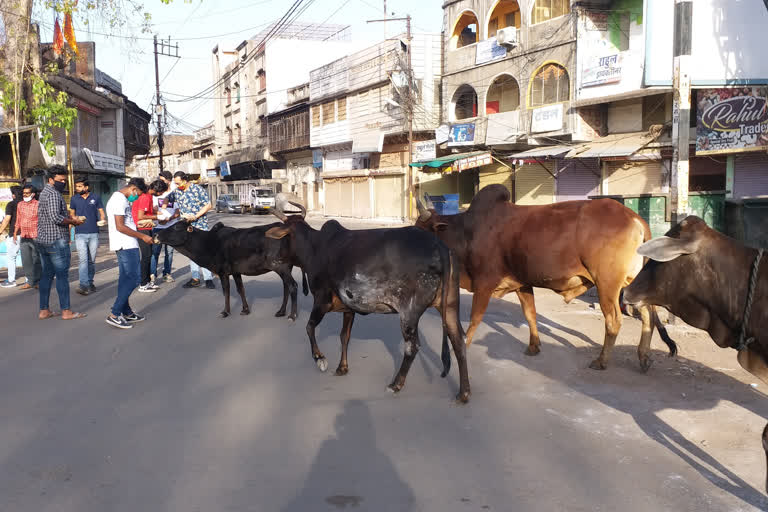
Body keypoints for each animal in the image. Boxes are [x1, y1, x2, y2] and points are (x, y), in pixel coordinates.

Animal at [154, 221, 308, 318]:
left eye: (176, 227)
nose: (156, 235)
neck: (208, 243)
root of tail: (288, 232)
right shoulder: (236, 271)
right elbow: (241, 289)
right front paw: (245, 310)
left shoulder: (223, 271)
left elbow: (226, 291)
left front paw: (225, 312)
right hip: (285, 267)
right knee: (286, 287)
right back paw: (281, 311)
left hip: (280, 266)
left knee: (293, 286)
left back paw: (292, 315)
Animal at [264, 198, 472, 402]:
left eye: (283, 238)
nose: (278, 257)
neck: (314, 248)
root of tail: (440, 246)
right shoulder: (348, 308)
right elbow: (344, 336)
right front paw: (342, 367)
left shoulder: (322, 300)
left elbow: (309, 327)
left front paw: (320, 359)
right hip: (450, 305)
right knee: (458, 339)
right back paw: (464, 393)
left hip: (409, 312)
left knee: (412, 347)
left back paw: (395, 385)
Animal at [414, 186, 672, 370]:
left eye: (422, 230)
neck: (467, 232)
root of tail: (635, 218)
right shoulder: (522, 284)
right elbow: (530, 314)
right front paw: (533, 346)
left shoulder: (484, 283)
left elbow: (475, 318)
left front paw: (462, 347)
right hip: (632, 281)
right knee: (648, 315)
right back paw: (643, 357)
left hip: (607, 284)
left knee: (614, 320)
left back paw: (602, 361)